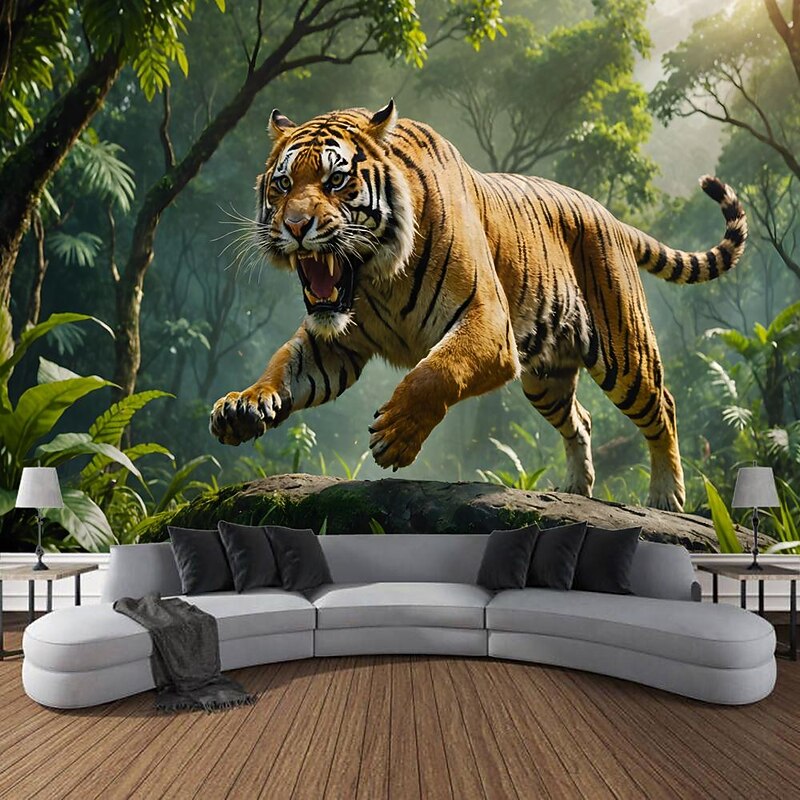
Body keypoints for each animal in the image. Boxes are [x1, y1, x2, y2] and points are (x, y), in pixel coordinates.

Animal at [209, 101, 747, 511]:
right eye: (282, 184)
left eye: (335, 181)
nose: (296, 226)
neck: (377, 278)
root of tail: (610, 215)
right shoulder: (336, 343)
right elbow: (285, 364)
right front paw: (243, 405)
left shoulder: (487, 322)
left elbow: (436, 371)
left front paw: (396, 436)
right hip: (545, 378)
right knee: (582, 420)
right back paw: (575, 490)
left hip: (624, 352)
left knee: (663, 406)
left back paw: (666, 496)